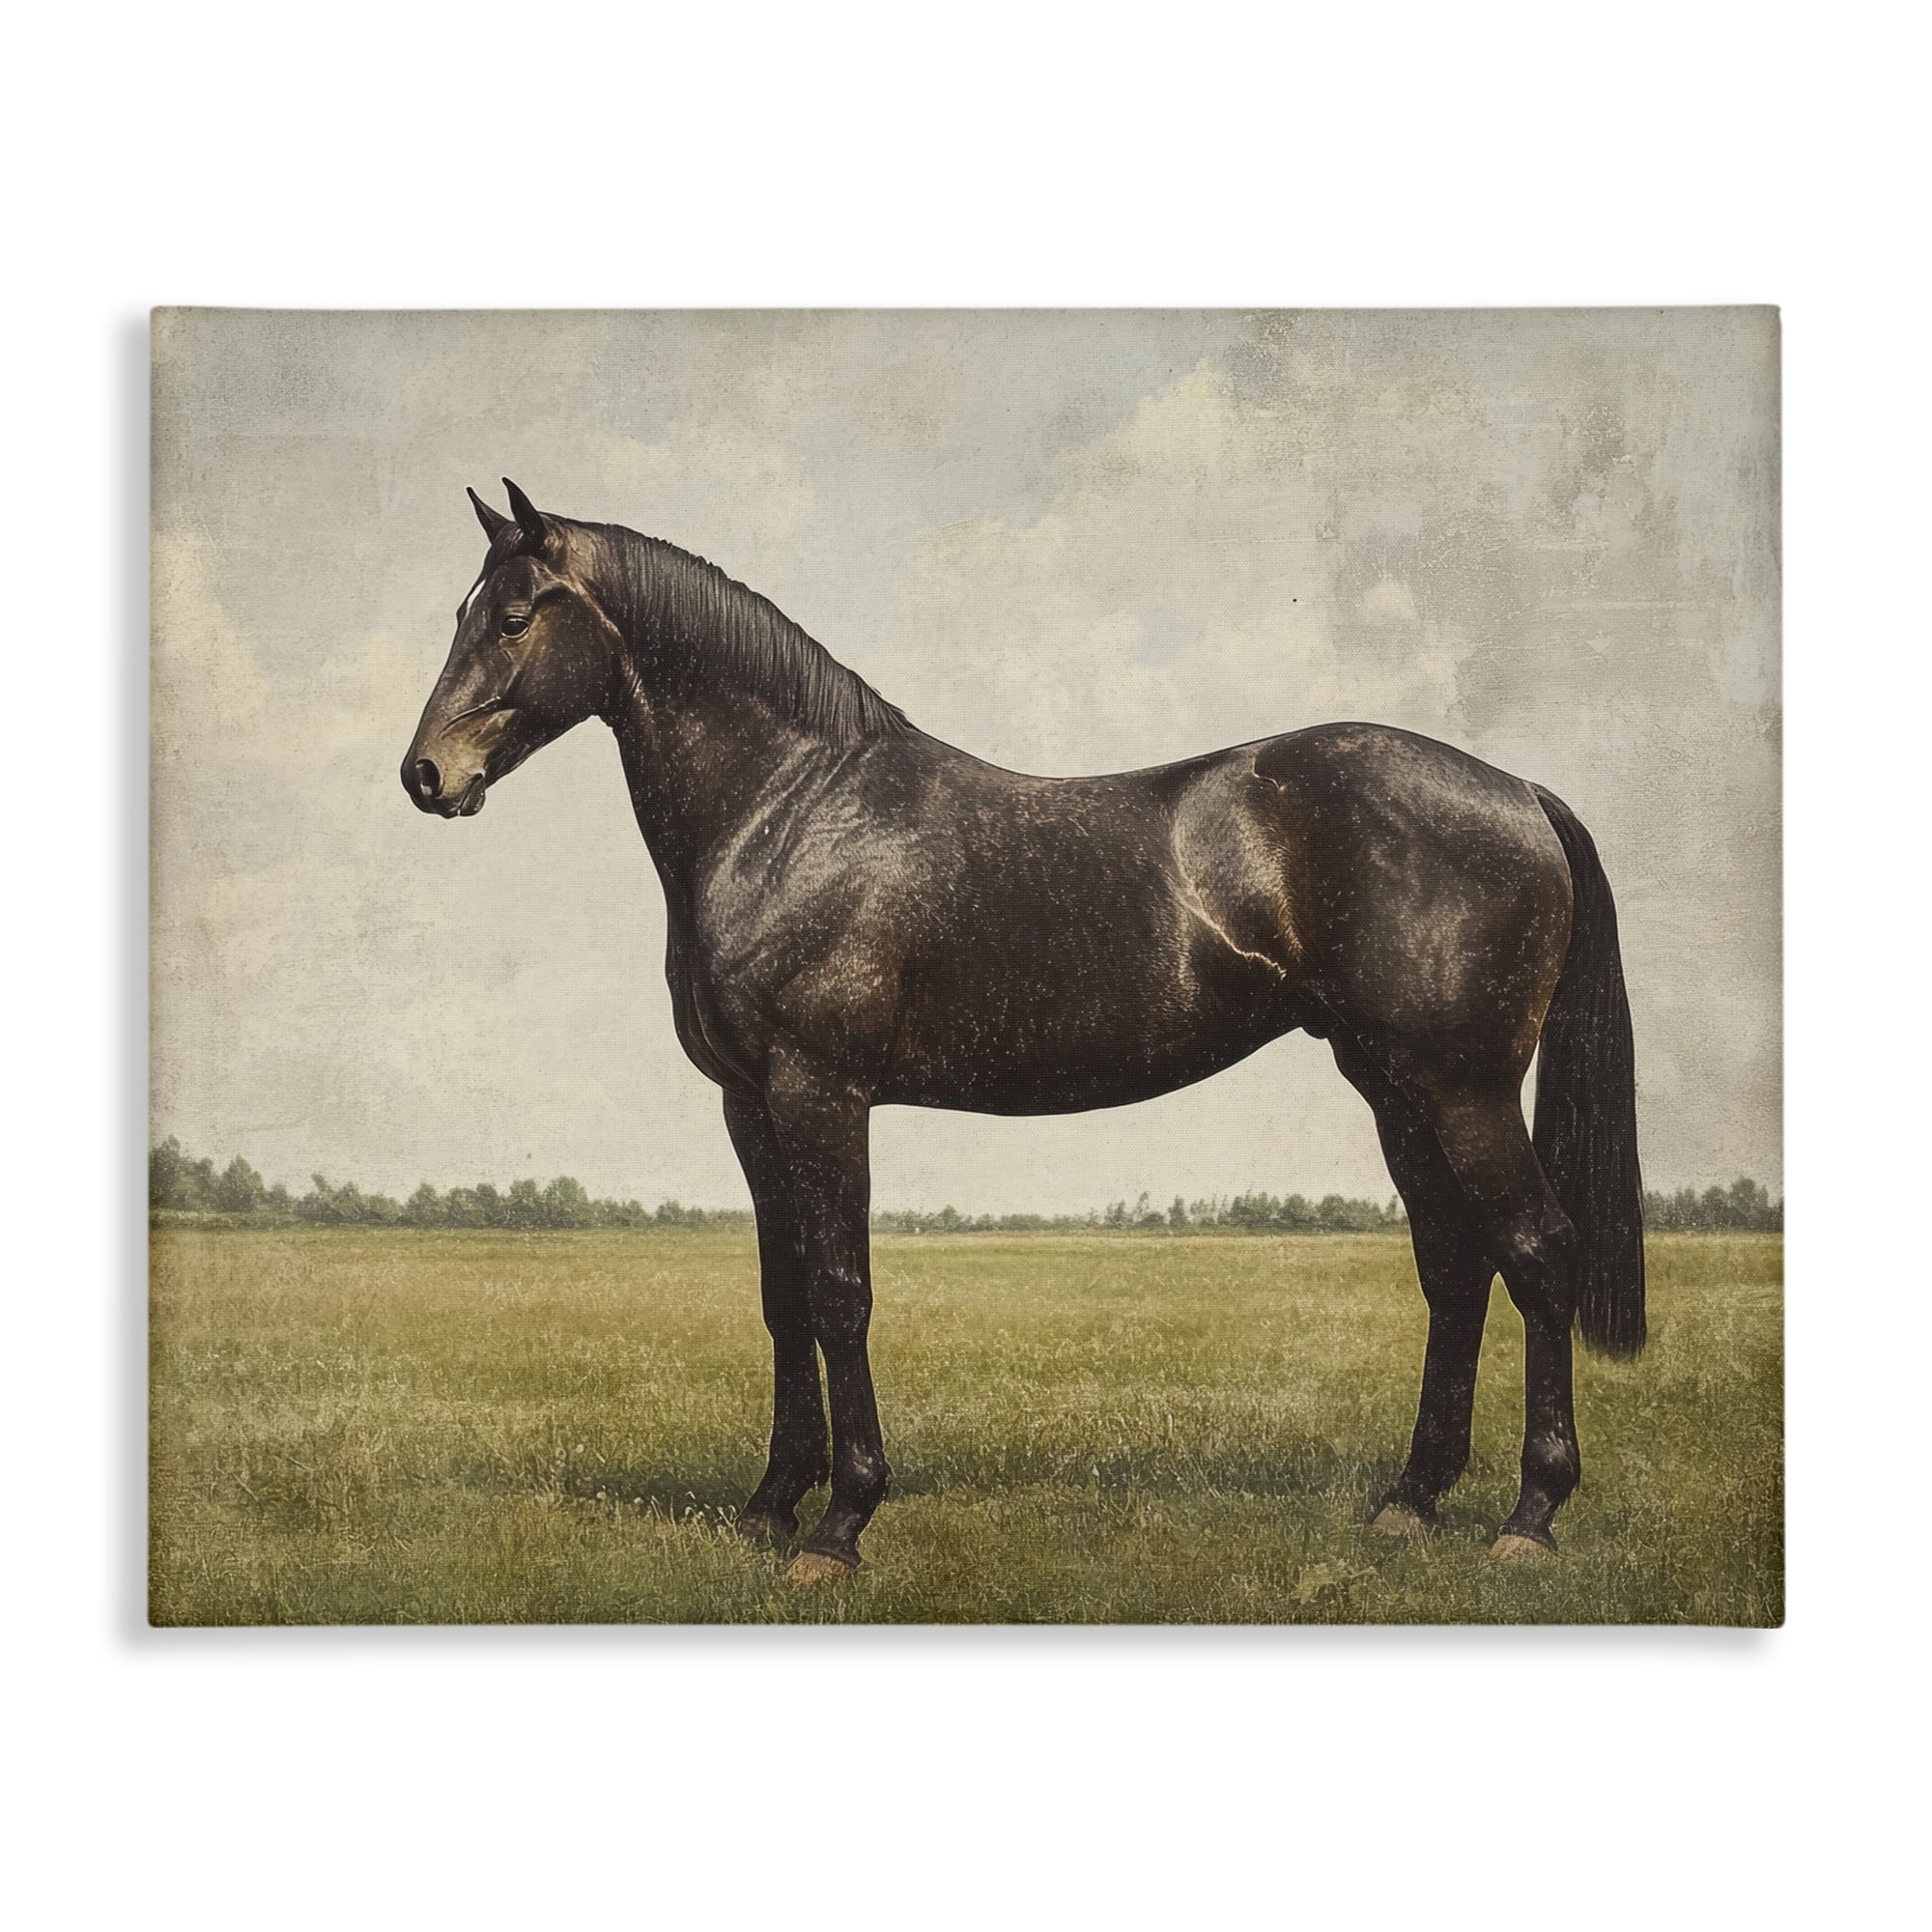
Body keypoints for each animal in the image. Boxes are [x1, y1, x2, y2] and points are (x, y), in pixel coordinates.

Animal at [403, 480, 1644, 1584]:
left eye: (513, 616)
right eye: (462, 610)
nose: (425, 775)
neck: (789, 808)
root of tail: (1519, 793)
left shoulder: (819, 1090)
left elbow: (840, 1289)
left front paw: (838, 1524)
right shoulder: (746, 1100)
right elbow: (782, 1294)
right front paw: (767, 1504)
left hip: (1462, 1087)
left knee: (1537, 1252)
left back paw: (1528, 1518)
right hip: (1393, 1085)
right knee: (1453, 1264)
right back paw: (1408, 1503)